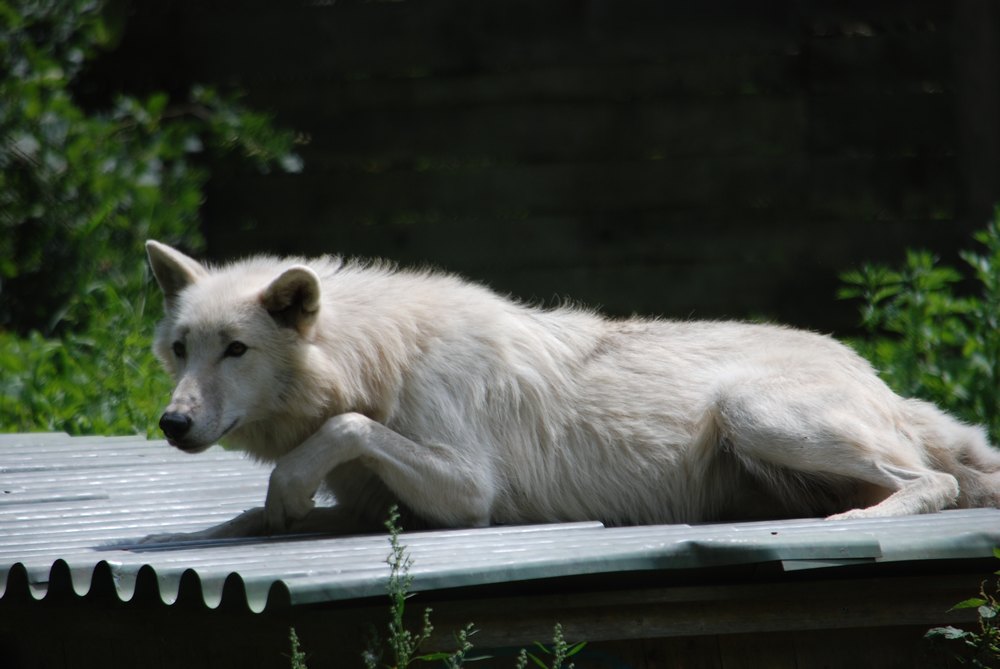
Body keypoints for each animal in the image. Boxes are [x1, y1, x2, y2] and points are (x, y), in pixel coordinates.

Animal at [143, 243, 1000, 540]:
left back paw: (854, 520)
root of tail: (873, 371)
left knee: (936, 480)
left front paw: (284, 494)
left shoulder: (468, 490)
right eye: (182, 348)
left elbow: (346, 428)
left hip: (754, 413)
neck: (380, 358)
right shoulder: (372, 499)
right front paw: (254, 514)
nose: (172, 423)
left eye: (237, 349)